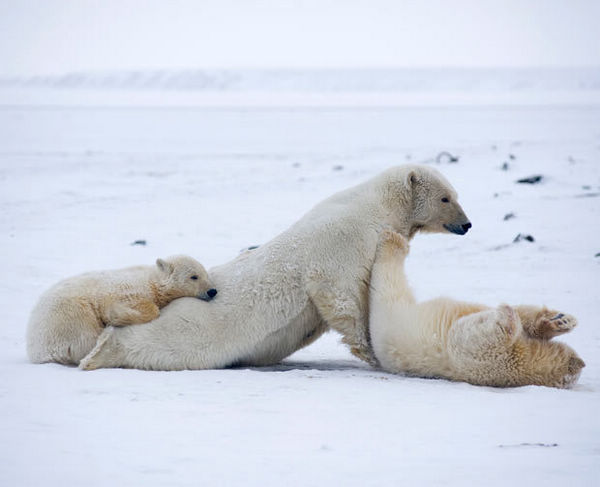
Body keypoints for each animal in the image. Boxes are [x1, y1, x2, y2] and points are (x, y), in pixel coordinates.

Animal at [81, 164, 474, 370]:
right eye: (446, 198)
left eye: (456, 195)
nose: (467, 224)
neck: (377, 206)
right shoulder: (342, 240)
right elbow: (340, 293)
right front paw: (370, 351)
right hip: (193, 328)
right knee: (161, 345)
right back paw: (99, 354)